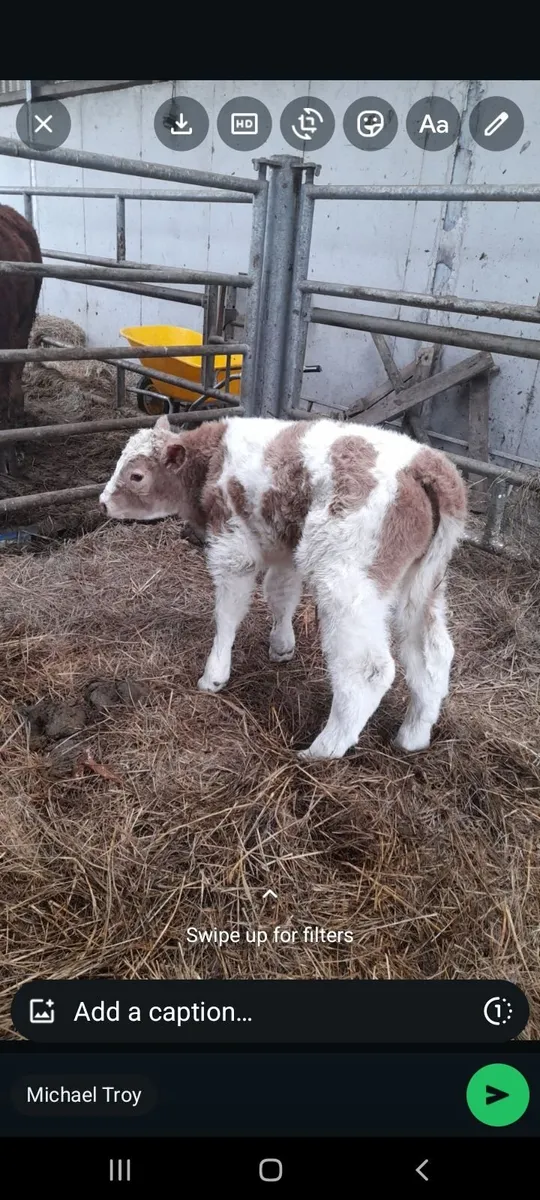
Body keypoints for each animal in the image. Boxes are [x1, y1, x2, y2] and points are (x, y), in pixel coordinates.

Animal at [100, 415, 467, 761]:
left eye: (136, 476)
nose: (103, 502)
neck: (213, 460)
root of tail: (426, 465)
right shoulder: (284, 545)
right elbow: (280, 593)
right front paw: (281, 646)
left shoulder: (233, 548)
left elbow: (228, 612)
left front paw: (214, 675)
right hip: (422, 583)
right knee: (434, 652)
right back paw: (413, 735)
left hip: (349, 585)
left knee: (368, 669)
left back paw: (323, 749)